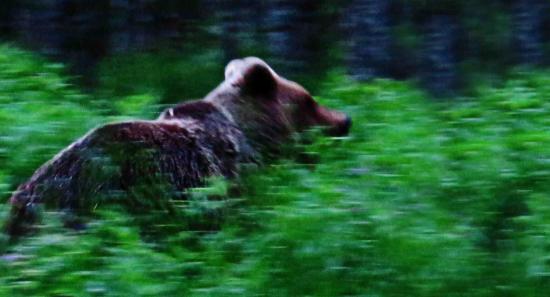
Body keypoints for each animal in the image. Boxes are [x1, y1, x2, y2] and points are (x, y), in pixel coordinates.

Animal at [2, 57, 352, 237]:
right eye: (309, 100)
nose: (345, 119)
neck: (252, 136)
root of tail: (22, 198)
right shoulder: (224, 180)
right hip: (95, 197)